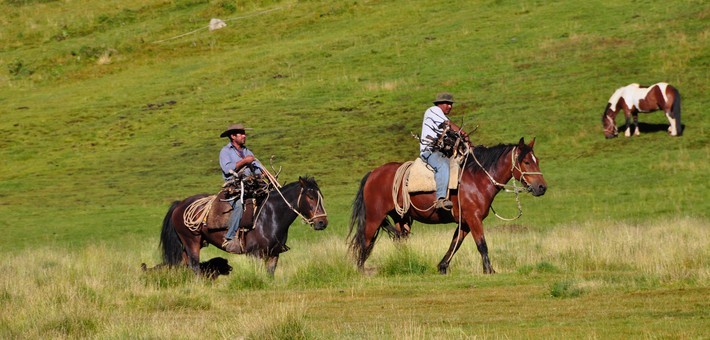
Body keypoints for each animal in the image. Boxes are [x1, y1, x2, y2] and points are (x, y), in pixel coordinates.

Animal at [159, 177, 328, 274]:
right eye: (310, 196)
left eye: (320, 196)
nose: (322, 222)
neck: (271, 215)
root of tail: (180, 204)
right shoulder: (255, 254)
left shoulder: (274, 254)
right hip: (191, 241)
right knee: (194, 265)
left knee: (184, 262)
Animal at [350, 137, 552, 274]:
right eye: (526, 161)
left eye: (537, 160)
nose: (542, 187)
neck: (477, 178)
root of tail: (373, 173)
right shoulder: (473, 218)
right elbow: (482, 244)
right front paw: (489, 270)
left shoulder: (465, 222)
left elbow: (456, 242)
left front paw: (442, 266)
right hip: (374, 218)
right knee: (365, 241)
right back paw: (359, 270)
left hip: (401, 218)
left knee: (400, 241)